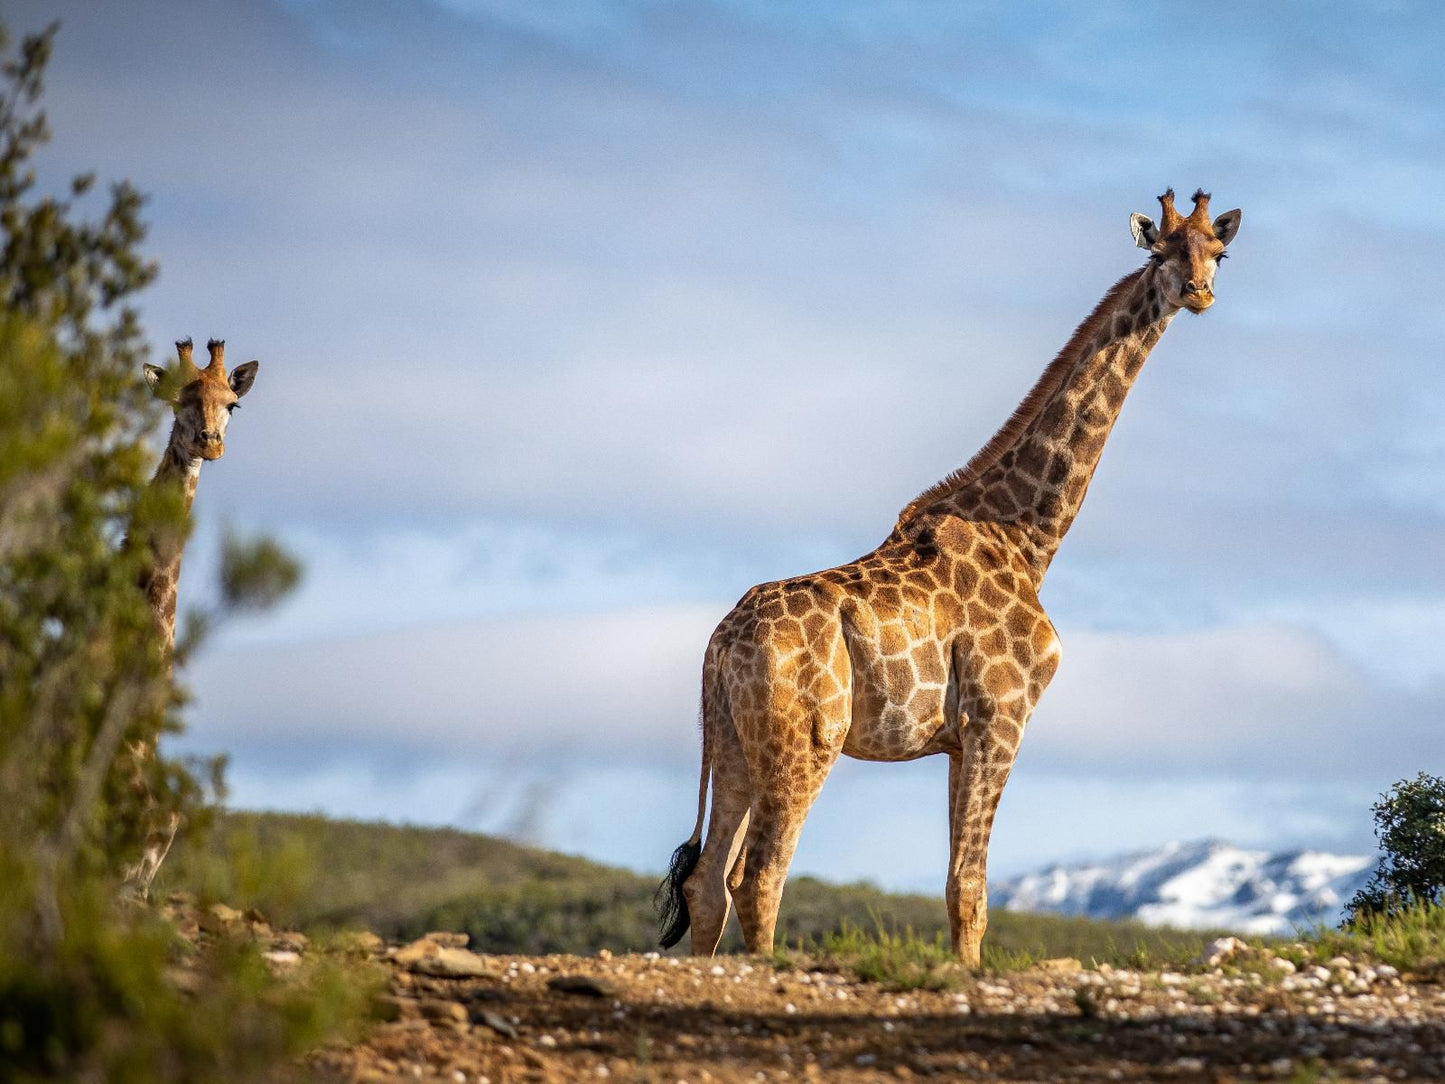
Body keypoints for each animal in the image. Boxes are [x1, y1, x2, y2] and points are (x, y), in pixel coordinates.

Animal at [661, 189, 1242, 965]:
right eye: (1162, 252)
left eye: (1218, 251)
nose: (1200, 293)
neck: (1027, 536)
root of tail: (719, 646)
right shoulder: (999, 717)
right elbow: (970, 889)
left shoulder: (955, 739)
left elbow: (955, 884)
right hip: (805, 738)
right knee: (759, 875)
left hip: (728, 739)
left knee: (707, 883)